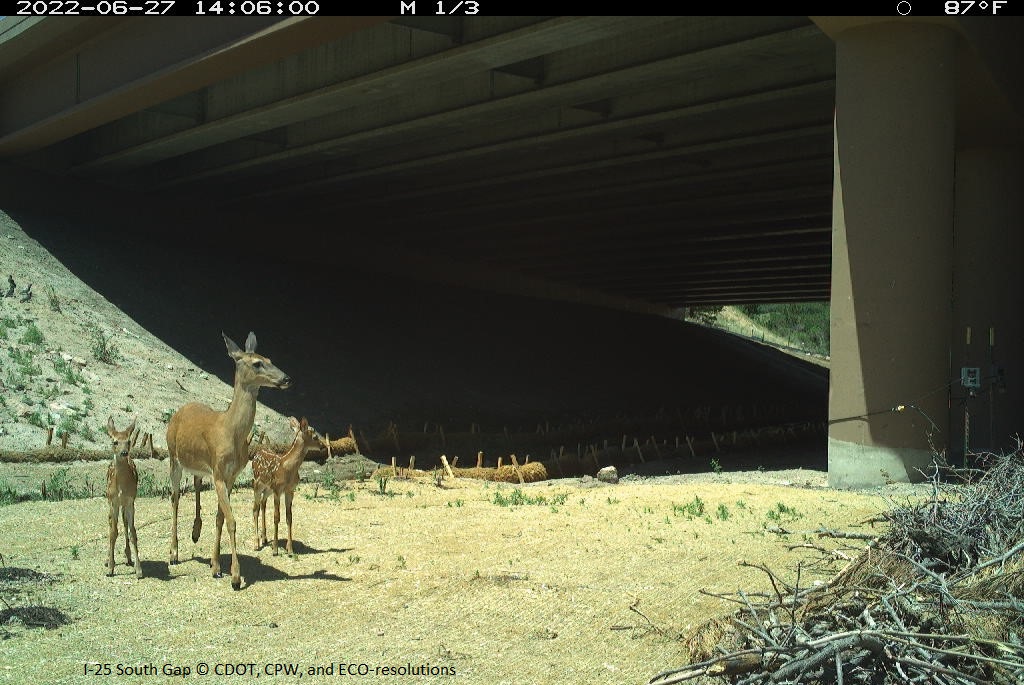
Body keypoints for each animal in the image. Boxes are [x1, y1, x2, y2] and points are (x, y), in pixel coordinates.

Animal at [164, 331, 288, 589]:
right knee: (174, 498)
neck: (230, 432)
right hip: (173, 456)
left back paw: (195, 532)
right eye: (257, 363)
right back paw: (173, 553)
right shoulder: (220, 472)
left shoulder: (230, 475)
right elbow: (231, 520)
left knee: (196, 483)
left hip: (199, 466)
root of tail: (179, 411)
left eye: (269, 358)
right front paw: (235, 576)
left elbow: (220, 518)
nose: (286, 378)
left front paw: (216, 566)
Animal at [251, 417, 323, 557]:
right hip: (257, 484)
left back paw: (264, 538)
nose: (323, 446)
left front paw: (290, 549)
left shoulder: (290, 490)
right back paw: (256, 543)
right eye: (315, 437)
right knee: (255, 509)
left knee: (262, 504)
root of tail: (257, 453)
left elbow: (289, 517)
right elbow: (276, 517)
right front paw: (275, 549)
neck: (288, 468)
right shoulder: (278, 490)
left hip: (268, 488)